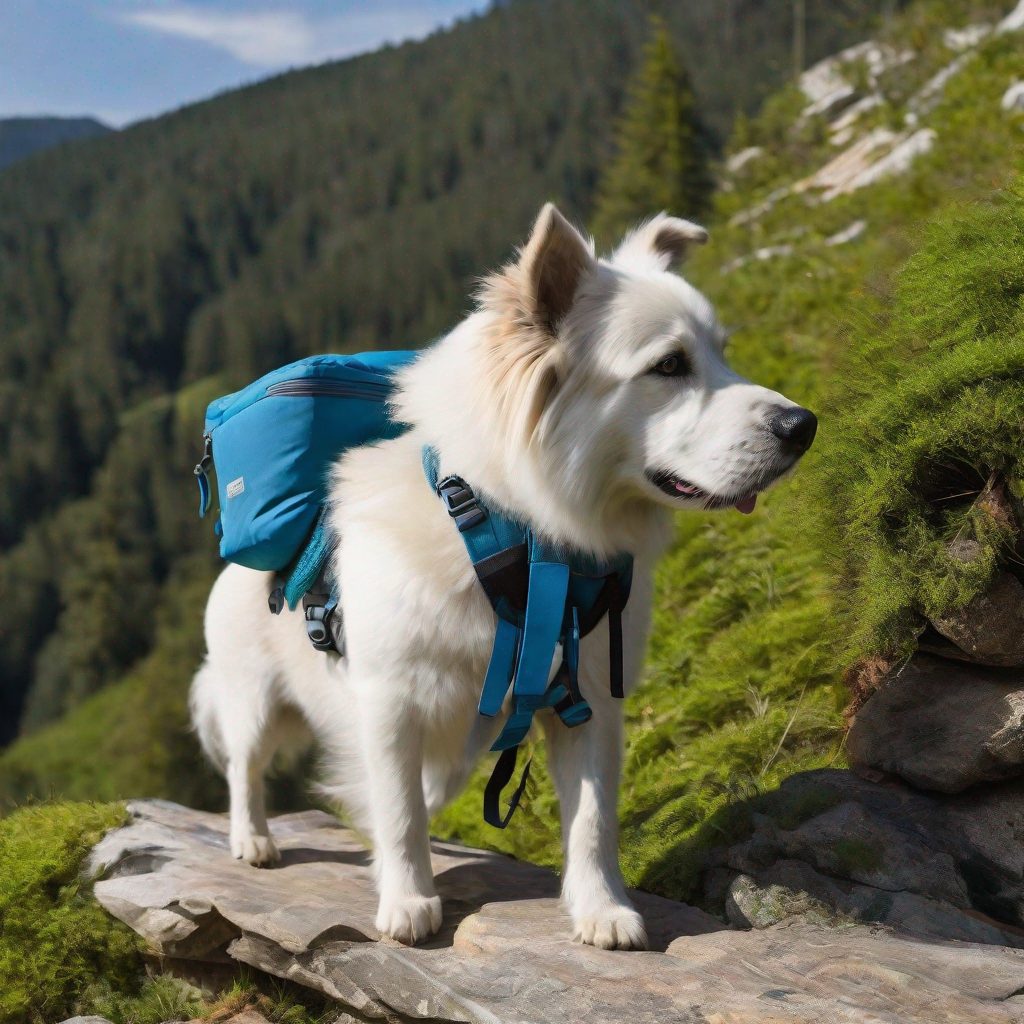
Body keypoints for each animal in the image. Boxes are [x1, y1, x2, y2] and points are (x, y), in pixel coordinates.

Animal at [190, 201, 815, 950]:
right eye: (669, 365)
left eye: (721, 351)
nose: (803, 425)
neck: (517, 539)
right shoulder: (388, 703)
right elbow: (398, 812)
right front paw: (408, 901)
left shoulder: (586, 702)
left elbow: (591, 823)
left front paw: (601, 909)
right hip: (253, 699)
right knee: (245, 770)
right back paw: (252, 839)